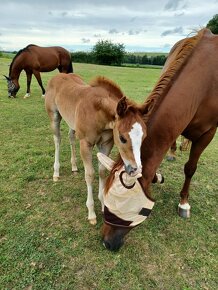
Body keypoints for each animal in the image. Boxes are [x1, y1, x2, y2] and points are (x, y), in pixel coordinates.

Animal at [44, 72, 150, 224]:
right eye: (122, 138)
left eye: (144, 137)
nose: (135, 170)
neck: (98, 112)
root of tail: (57, 76)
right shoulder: (85, 144)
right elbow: (90, 174)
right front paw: (91, 213)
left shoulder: (106, 144)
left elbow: (102, 171)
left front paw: (103, 204)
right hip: (54, 116)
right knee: (57, 139)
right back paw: (56, 173)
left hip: (72, 122)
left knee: (71, 137)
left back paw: (74, 166)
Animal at [102, 30, 218, 251]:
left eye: (122, 206)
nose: (107, 242)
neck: (203, 84)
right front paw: (157, 176)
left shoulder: (208, 133)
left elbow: (190, 168)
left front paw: (184, 202)